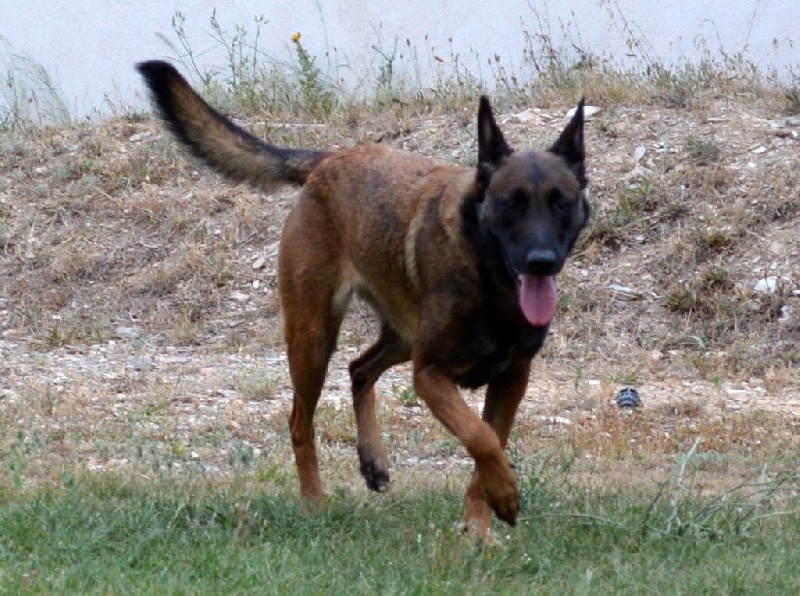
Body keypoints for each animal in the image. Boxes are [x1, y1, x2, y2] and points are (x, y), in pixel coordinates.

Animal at [137, 60, 589, 537]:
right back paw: (314, 502)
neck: (490, 281)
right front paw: (501, 494)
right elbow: (481, 439)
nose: (542, 262)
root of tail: (329, 159)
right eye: (511, 203)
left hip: (399, 336)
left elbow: (488, 448)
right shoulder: (430, 374)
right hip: (314, 339)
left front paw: (478, 528)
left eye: (562, 202)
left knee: (359, 370)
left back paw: (373, 461)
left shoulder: (512, 379)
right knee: (300, 420)